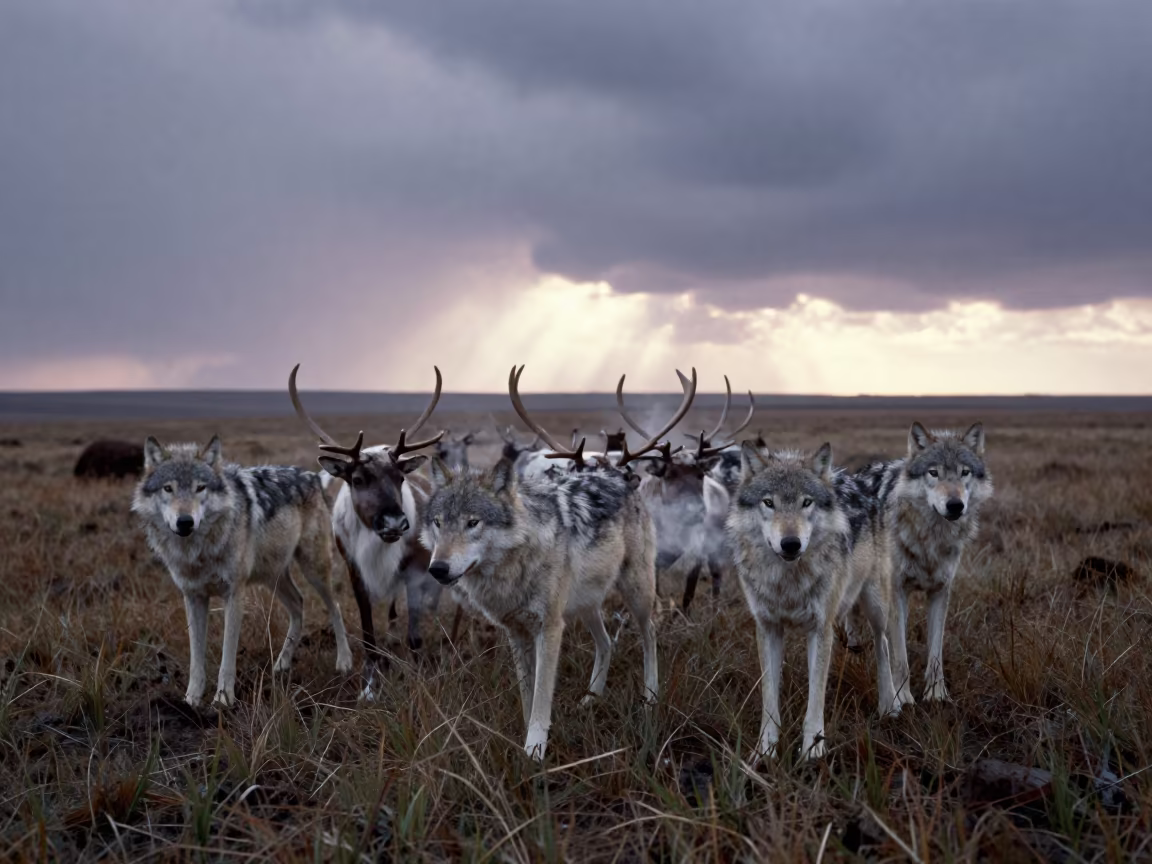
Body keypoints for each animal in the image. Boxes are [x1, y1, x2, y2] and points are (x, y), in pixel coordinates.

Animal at [132, 436, 352, 707]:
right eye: (168, 488)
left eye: (200, 488)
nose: (185, 521)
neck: (198, 551)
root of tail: (313, 476)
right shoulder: (193, 597)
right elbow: (196, 657)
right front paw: (191, 700)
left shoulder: (234, 594)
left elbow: (227, 655)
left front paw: (223, 699)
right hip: (274, 577)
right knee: (298, 604)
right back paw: (282, 663)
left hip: (314, 570)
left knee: (335, 607)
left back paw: (344, 662)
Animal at [726, 442, 898, 760]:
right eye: (768, 503)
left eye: (806, 502)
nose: (791, 543)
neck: (788, 582)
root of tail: (859, 481)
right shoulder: (768, 628)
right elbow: (769, 697)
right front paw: (766, 751)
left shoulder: (820, 629)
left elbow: (815, 697)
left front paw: (813, 751)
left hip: (876, 605)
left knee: (882, 644)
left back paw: (891, 705)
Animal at [855, 422, 992, 704]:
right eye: (933, 473)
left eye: (964, 472)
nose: (955, 505)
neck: (931, 538)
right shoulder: (897, 592)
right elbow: (901, 658)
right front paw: (903, 697)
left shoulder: (940, 592)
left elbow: (935, 654)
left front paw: (937, 694)